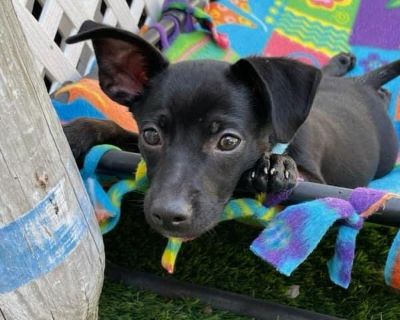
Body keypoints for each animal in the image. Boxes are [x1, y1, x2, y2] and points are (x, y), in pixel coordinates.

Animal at [64, 20, 398, 240]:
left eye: (228, 142)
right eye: (151, 135)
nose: (168, 216)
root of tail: (361, 87)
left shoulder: (320, 184)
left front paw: (275, 165)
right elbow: (117, 129)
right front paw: (77, 131)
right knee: (323, 75)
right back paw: (340, 62)